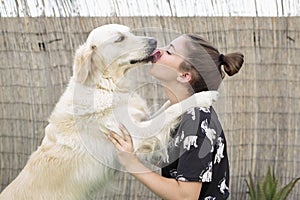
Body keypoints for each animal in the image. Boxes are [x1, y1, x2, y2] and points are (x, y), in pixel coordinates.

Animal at [0, 24, 217, 199]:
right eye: (120, 38)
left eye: (130, 32)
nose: (154, 41)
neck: (107, 85)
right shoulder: (135, 134)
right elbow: (172, 109)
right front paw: (202, 97)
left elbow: (167, 106)